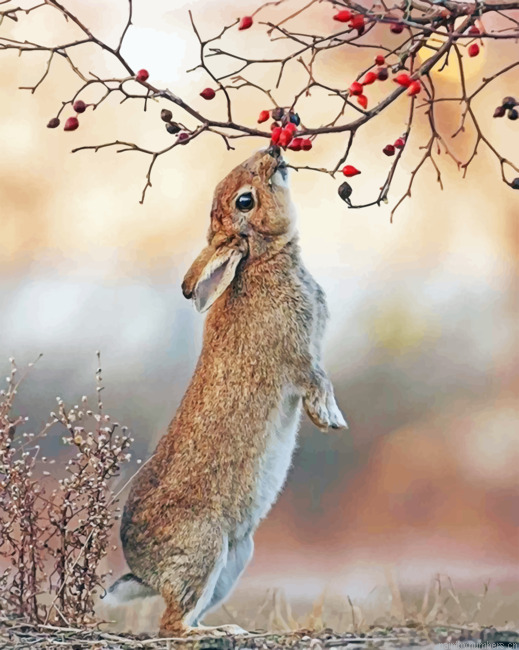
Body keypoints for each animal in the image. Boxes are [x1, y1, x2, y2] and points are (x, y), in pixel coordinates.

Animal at [105, 147, 347, 637]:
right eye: (245, 201)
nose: (272, 152)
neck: (261, 259)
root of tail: (144, 571)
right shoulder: (298, 357)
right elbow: (318, 380)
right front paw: (330, 419)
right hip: (205, 548)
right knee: (171, 624)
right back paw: (219, 632)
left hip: (237, 556)